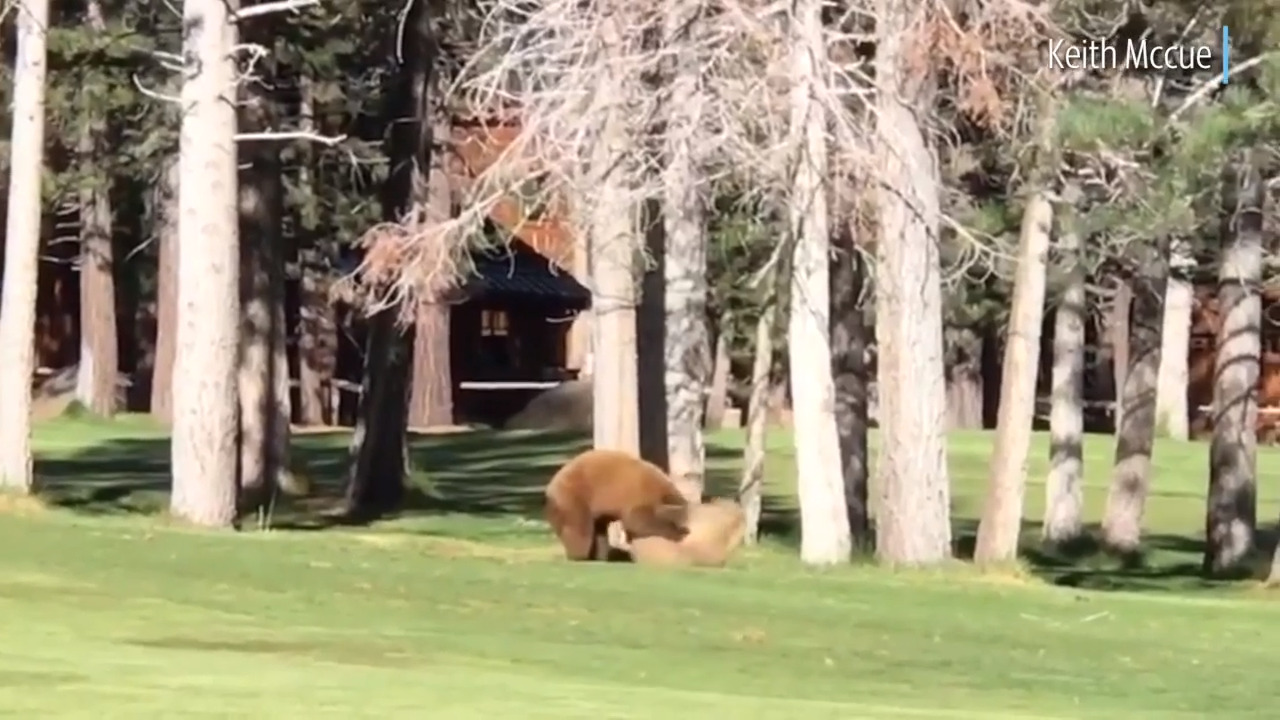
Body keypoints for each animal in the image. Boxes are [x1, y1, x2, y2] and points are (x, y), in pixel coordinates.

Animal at [544, 448, 691, 561]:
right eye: (680, 520)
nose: (686, 528)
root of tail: (550, 487)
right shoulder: (638, 495)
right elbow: (638, 521)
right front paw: (677, 533)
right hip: (575, 497)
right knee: (580, 528)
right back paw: (580, 555)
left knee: (599, 531)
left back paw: (601, 555)